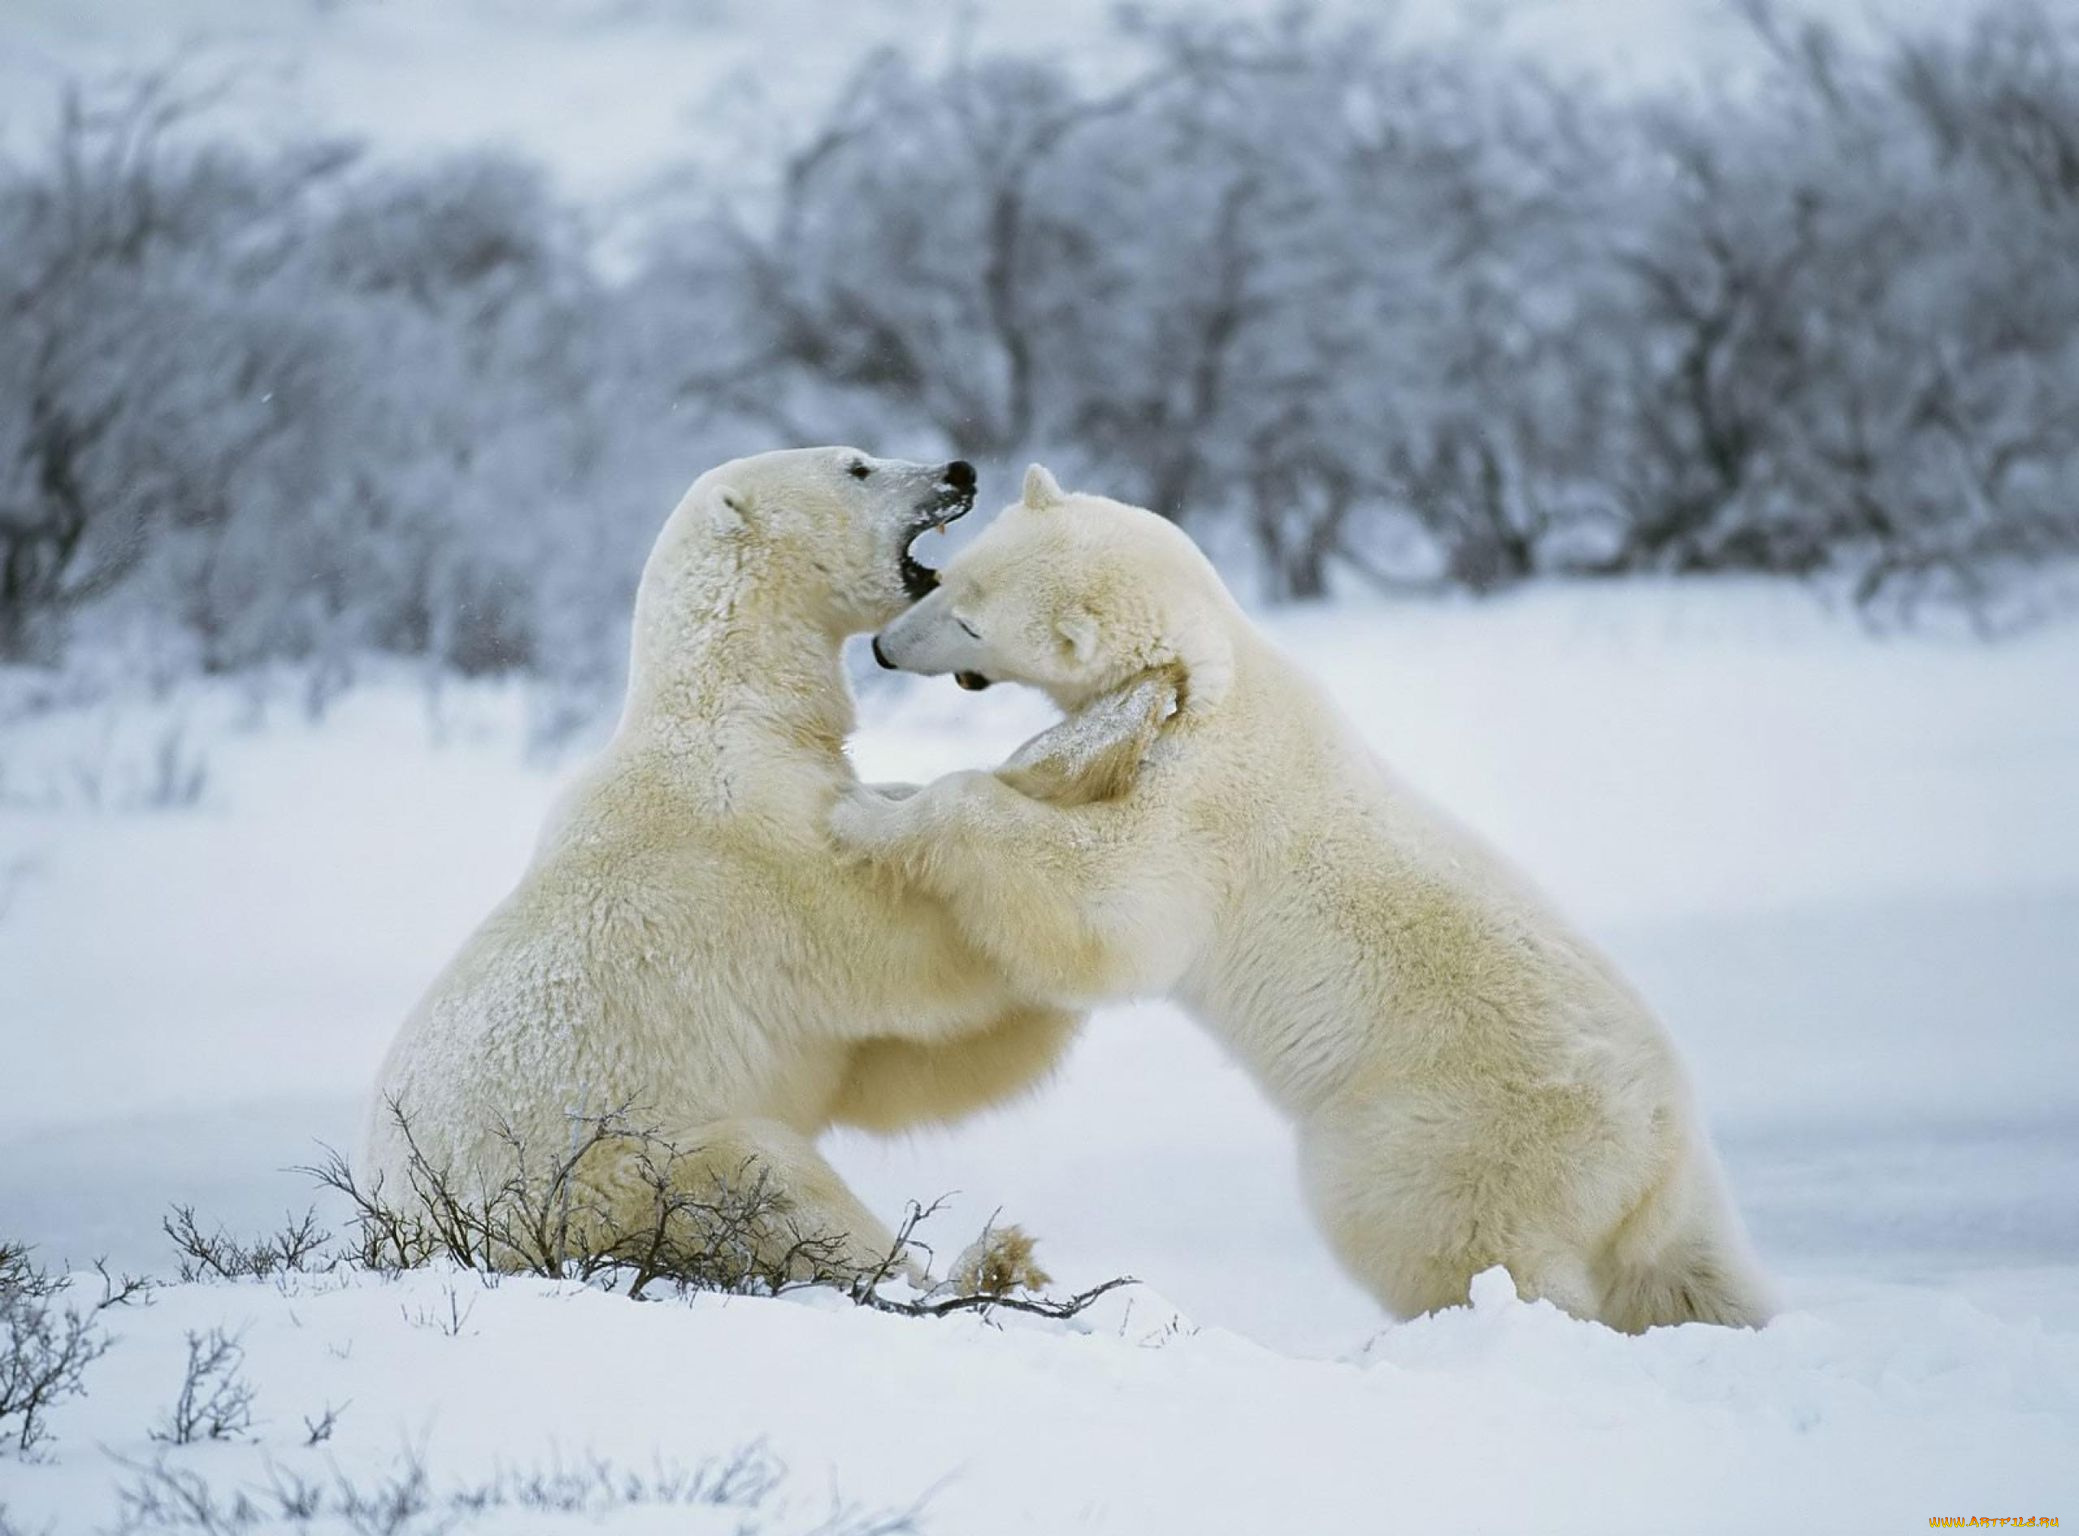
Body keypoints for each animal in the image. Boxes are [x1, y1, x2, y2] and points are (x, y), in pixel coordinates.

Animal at [365, 446, 1081, 1272]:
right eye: (858, 467)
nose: (959, 471)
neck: (733, 712)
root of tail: (406, 1232)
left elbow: (892, 1069)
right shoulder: (756, 854)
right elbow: (906, 955)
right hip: (609, 1176)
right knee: (765, 1179)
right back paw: (968, 1262)